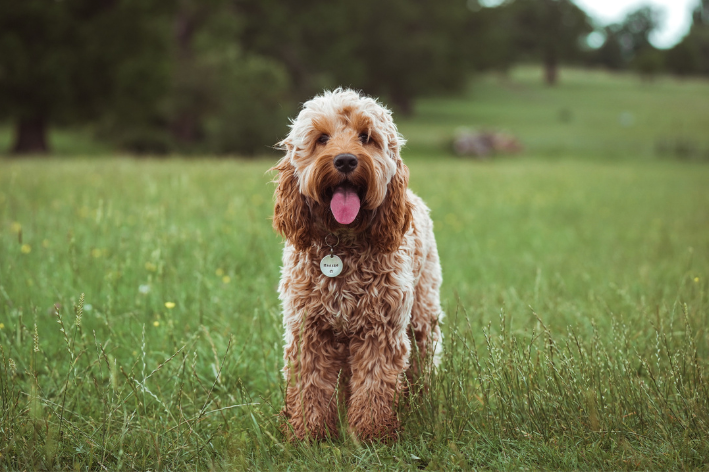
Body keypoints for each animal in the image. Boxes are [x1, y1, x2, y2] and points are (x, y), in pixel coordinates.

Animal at [272, 88, 442, 442]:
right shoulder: (309, 329)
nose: (346, 160)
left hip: (422, 314)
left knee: (423, 360)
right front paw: (308, 434)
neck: (341, 243)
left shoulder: (381, 329)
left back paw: (420, 404)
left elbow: (375, 384)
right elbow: (308, 384)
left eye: (366, 137)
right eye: (322, 138)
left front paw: (369, 434)